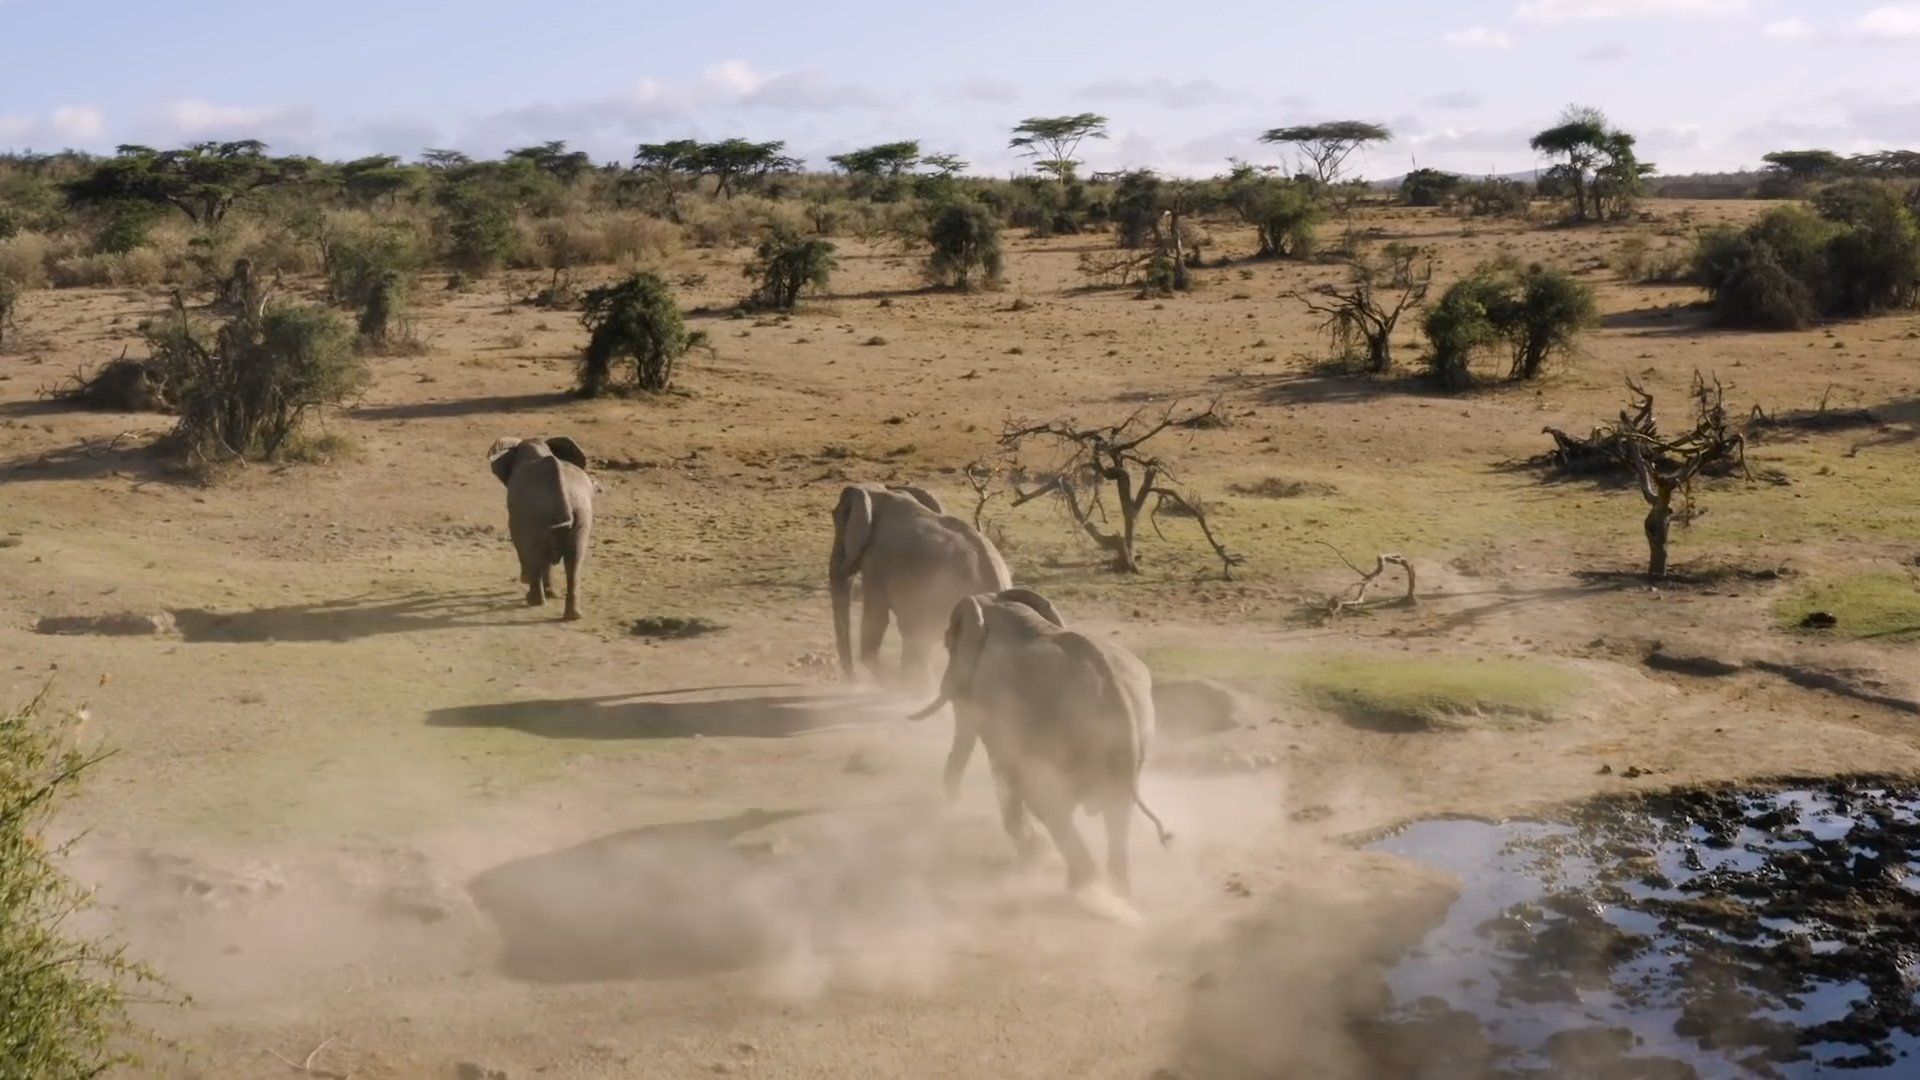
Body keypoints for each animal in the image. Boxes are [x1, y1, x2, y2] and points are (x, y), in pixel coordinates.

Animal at [488, 437, 594, 621]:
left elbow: (519, 541)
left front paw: (526, 580)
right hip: (581, 515)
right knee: (574, 560)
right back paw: (573, 615)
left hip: (538, 513)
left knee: (536, 553)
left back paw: (534, 600)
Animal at [908, 589, 1171, 901]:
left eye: (948, 640)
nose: (950, 808)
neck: (996, 605)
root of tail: (1114, 692)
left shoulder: (995, 700)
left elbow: (1005, 769)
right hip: (1131, 737)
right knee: (1115, 811)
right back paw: (1113, 894)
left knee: (1048, 801)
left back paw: (1082, 890)